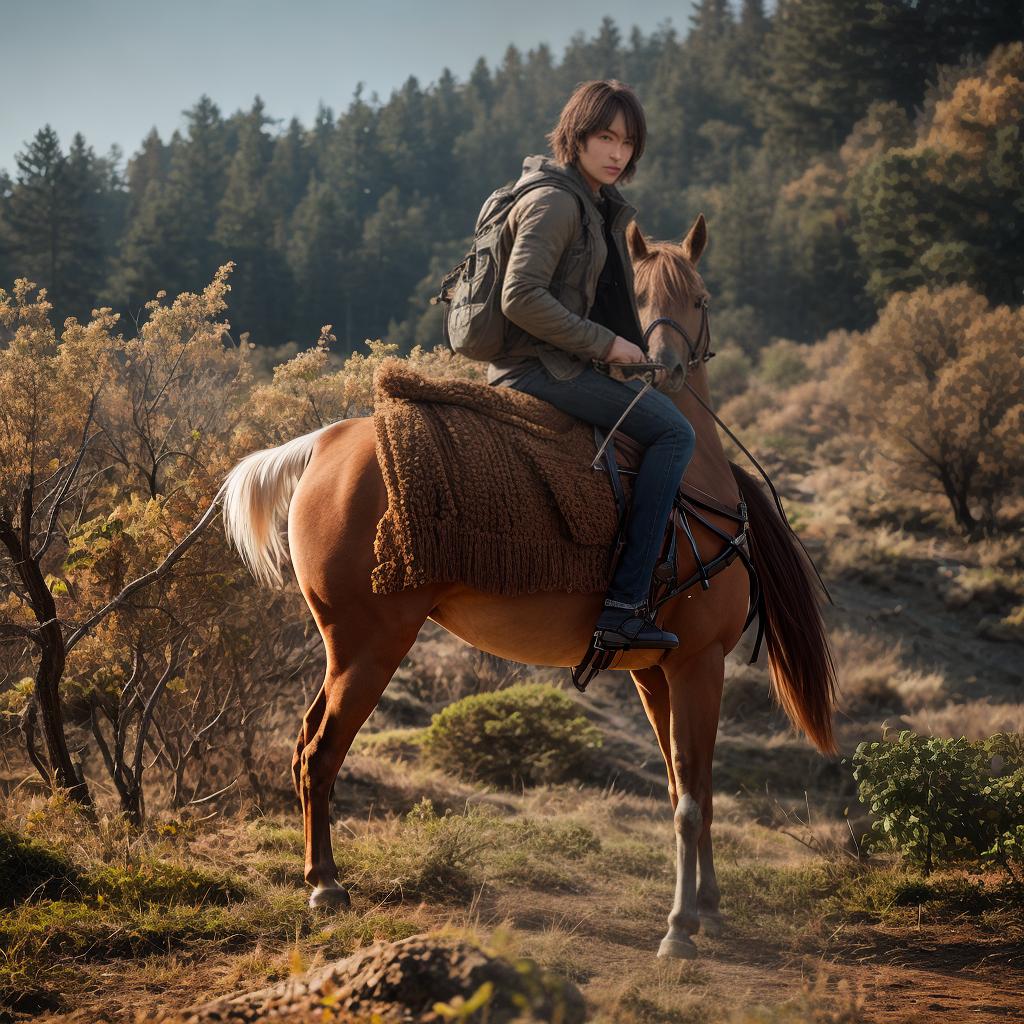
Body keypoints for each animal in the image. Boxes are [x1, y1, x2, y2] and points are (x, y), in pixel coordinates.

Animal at [220, 216, 835, 958]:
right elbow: (690, 797)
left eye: (700, 298)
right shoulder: (698, 662)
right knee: (319, 753)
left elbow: (689, 786)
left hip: (349, 650)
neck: (694, 481)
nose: (663, 368)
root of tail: (324, 442)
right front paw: (680, 927)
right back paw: (326, 888)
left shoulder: (656, 670)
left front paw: (708, 909)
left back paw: (320, 878)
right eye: (641, 299)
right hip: (370, 646)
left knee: (304, 745)